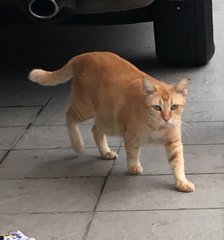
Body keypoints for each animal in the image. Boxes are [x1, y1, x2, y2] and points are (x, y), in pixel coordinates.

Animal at [29, 51, 194, 192]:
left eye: (174, 107)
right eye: (157, 107)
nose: (167, 118)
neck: (157, 127)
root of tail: (83, 55)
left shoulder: (173, 142)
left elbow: (178, 163)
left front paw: (182, 182)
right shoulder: (131, 136)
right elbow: (133, 153)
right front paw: (134, 167)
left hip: (108, 120)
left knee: (95, 129)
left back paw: (105, 152)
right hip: (85, 108)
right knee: (69, 116)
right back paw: (77, 144)